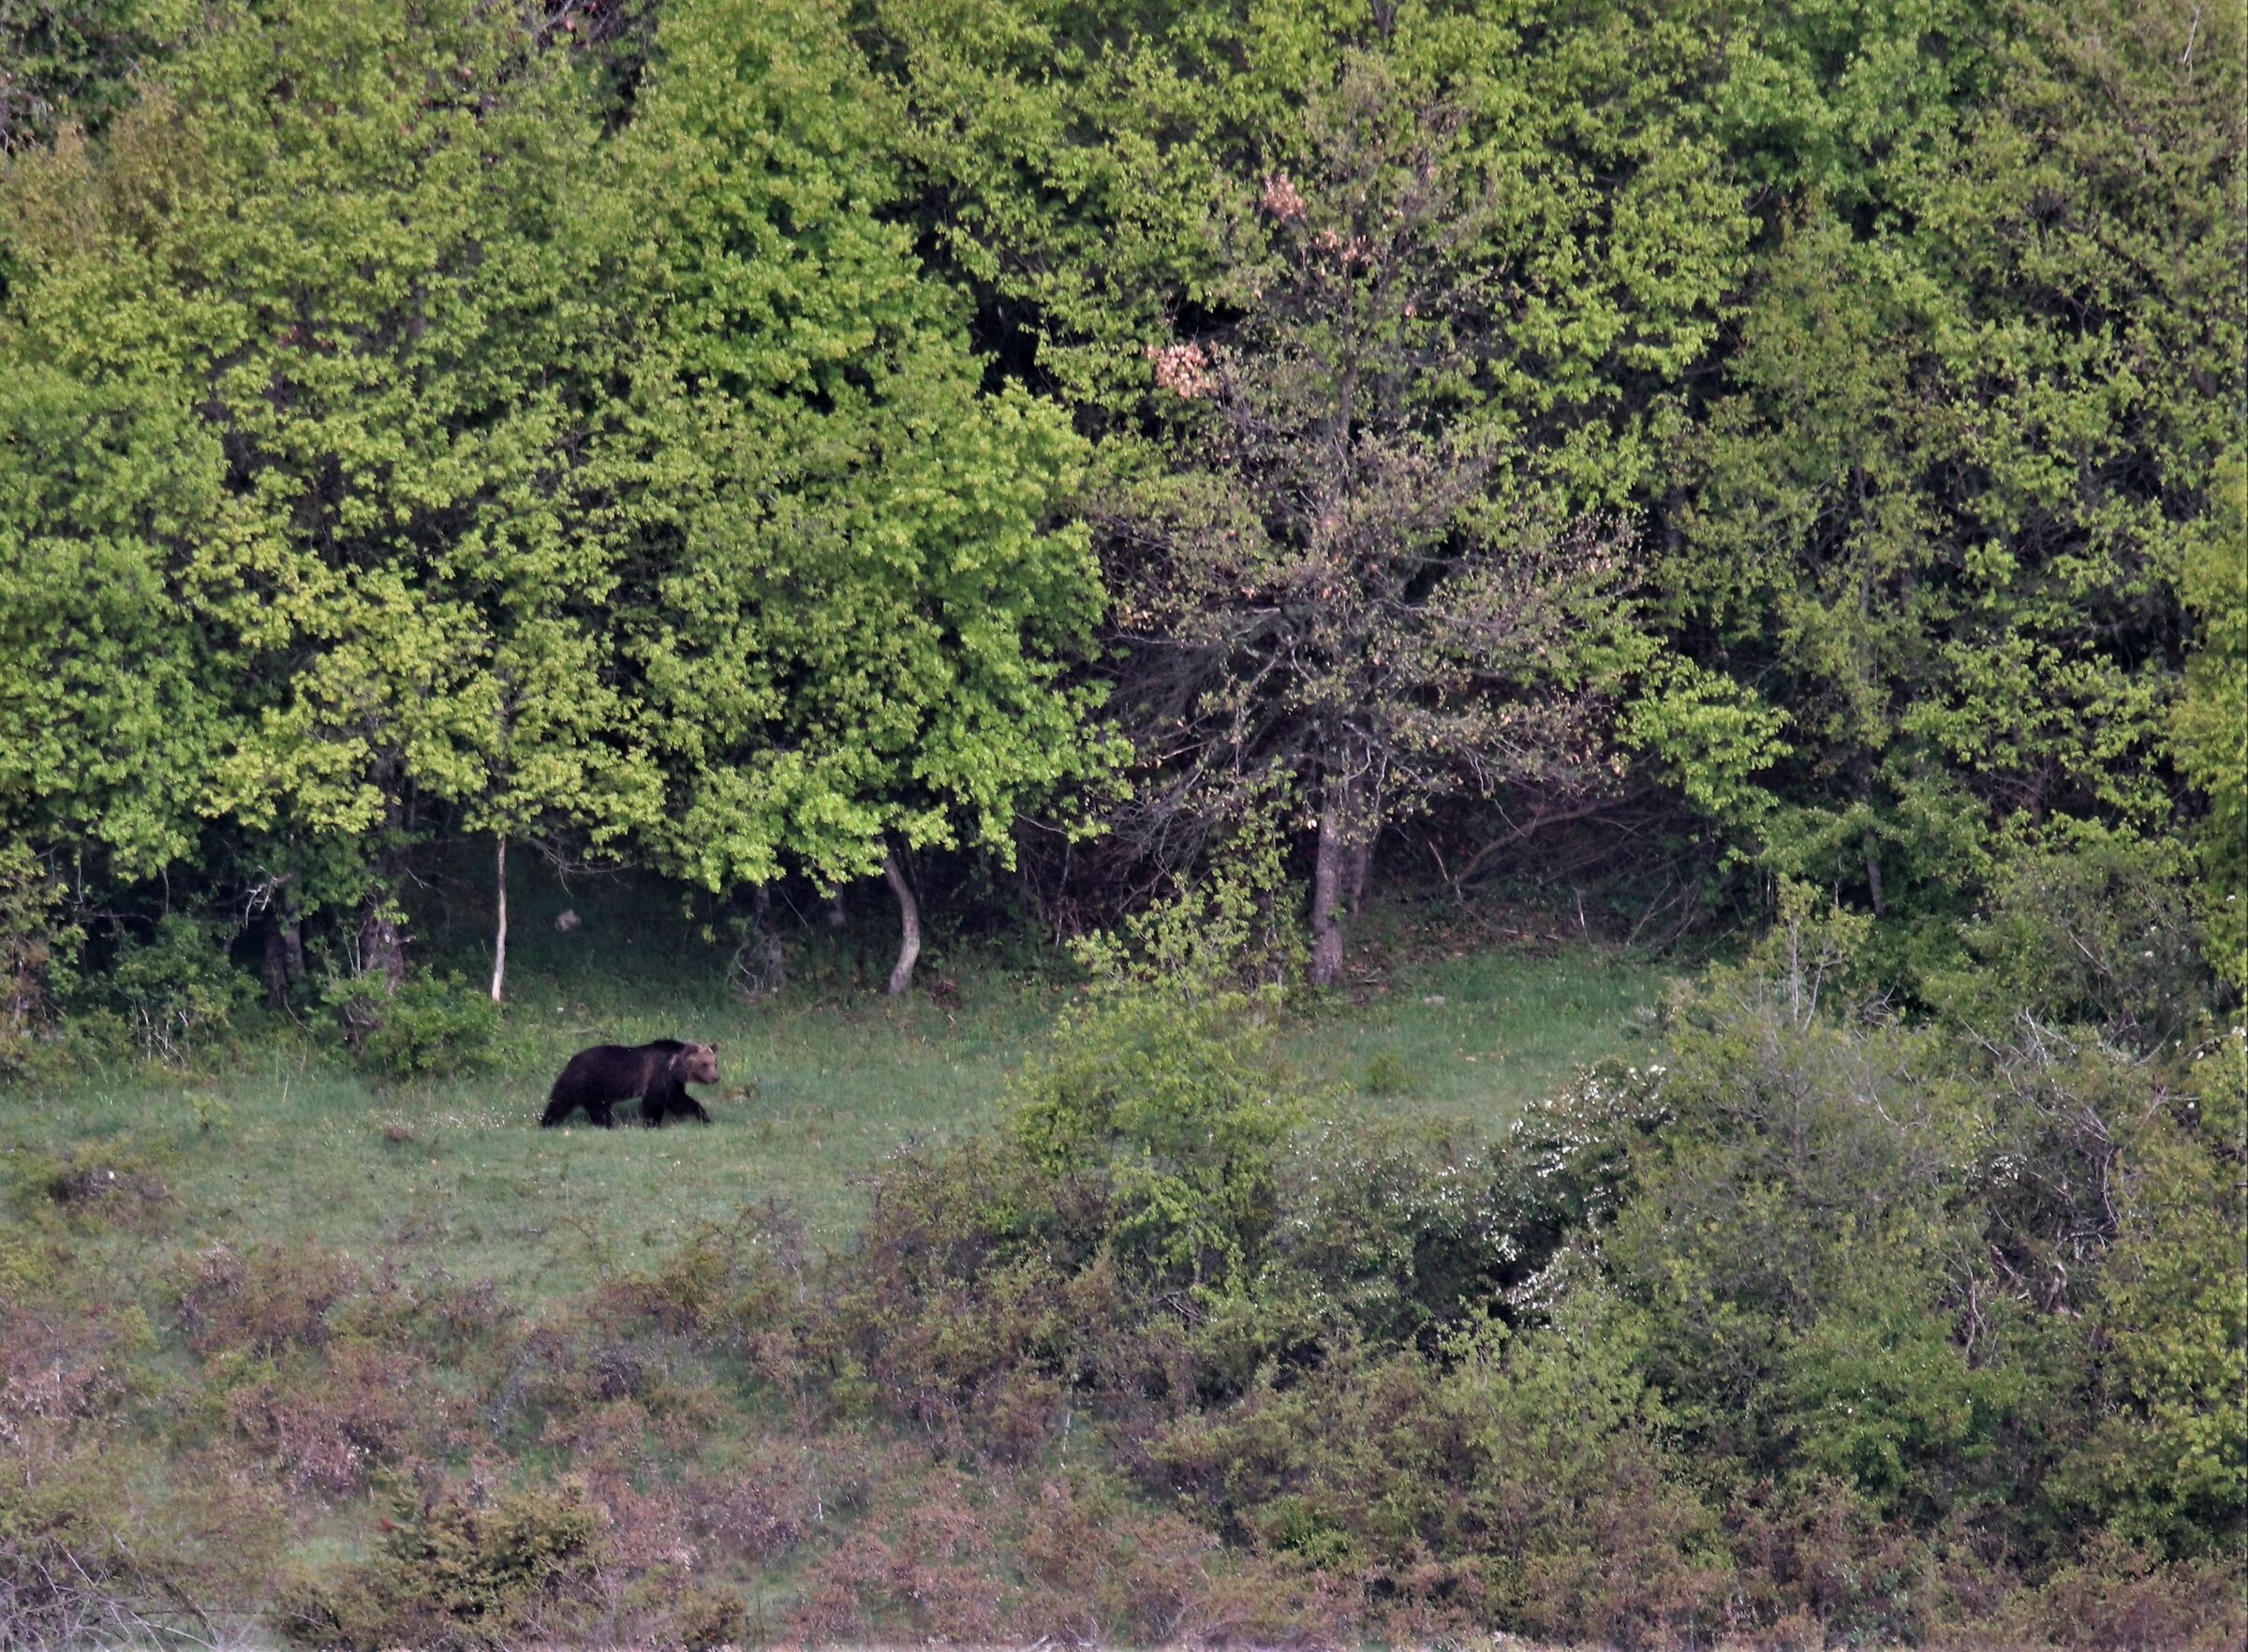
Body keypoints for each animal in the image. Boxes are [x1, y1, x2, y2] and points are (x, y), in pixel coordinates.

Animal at [540, 1039, 720, 1129]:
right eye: (704, 1064)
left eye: (715, 1063)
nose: (716, 1077)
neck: (675, 1067)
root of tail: (572, 1059)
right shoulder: (658, 1074)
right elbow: (653, 1101)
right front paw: (652, 1124)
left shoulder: (673, 1083)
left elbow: (679, 1100)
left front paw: (703, 1116)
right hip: (585, 1080)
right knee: (561, 1100)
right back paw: (547, 1122)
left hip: (595, 1090)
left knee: (597, 1108)